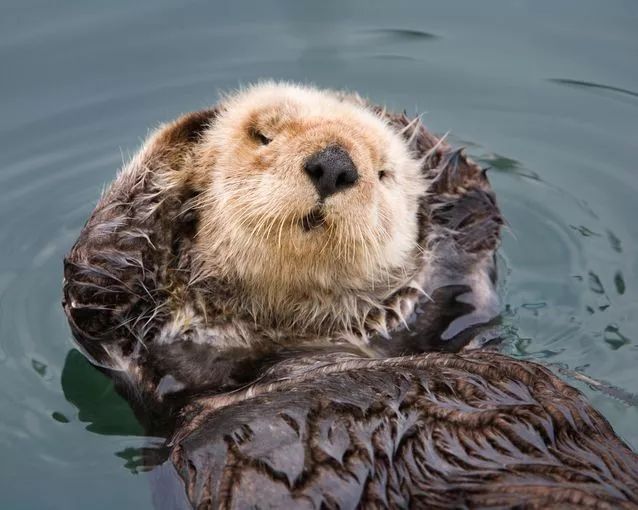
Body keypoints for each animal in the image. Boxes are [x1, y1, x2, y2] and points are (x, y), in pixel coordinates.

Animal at [61, 82, 638, 506]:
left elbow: (469, 223)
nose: (335, 164)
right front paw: (191, 134)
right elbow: (97, 275)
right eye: (262, 137)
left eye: (383, 172)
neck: (300, 343)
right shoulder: (142, 354)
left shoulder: (452, 310)